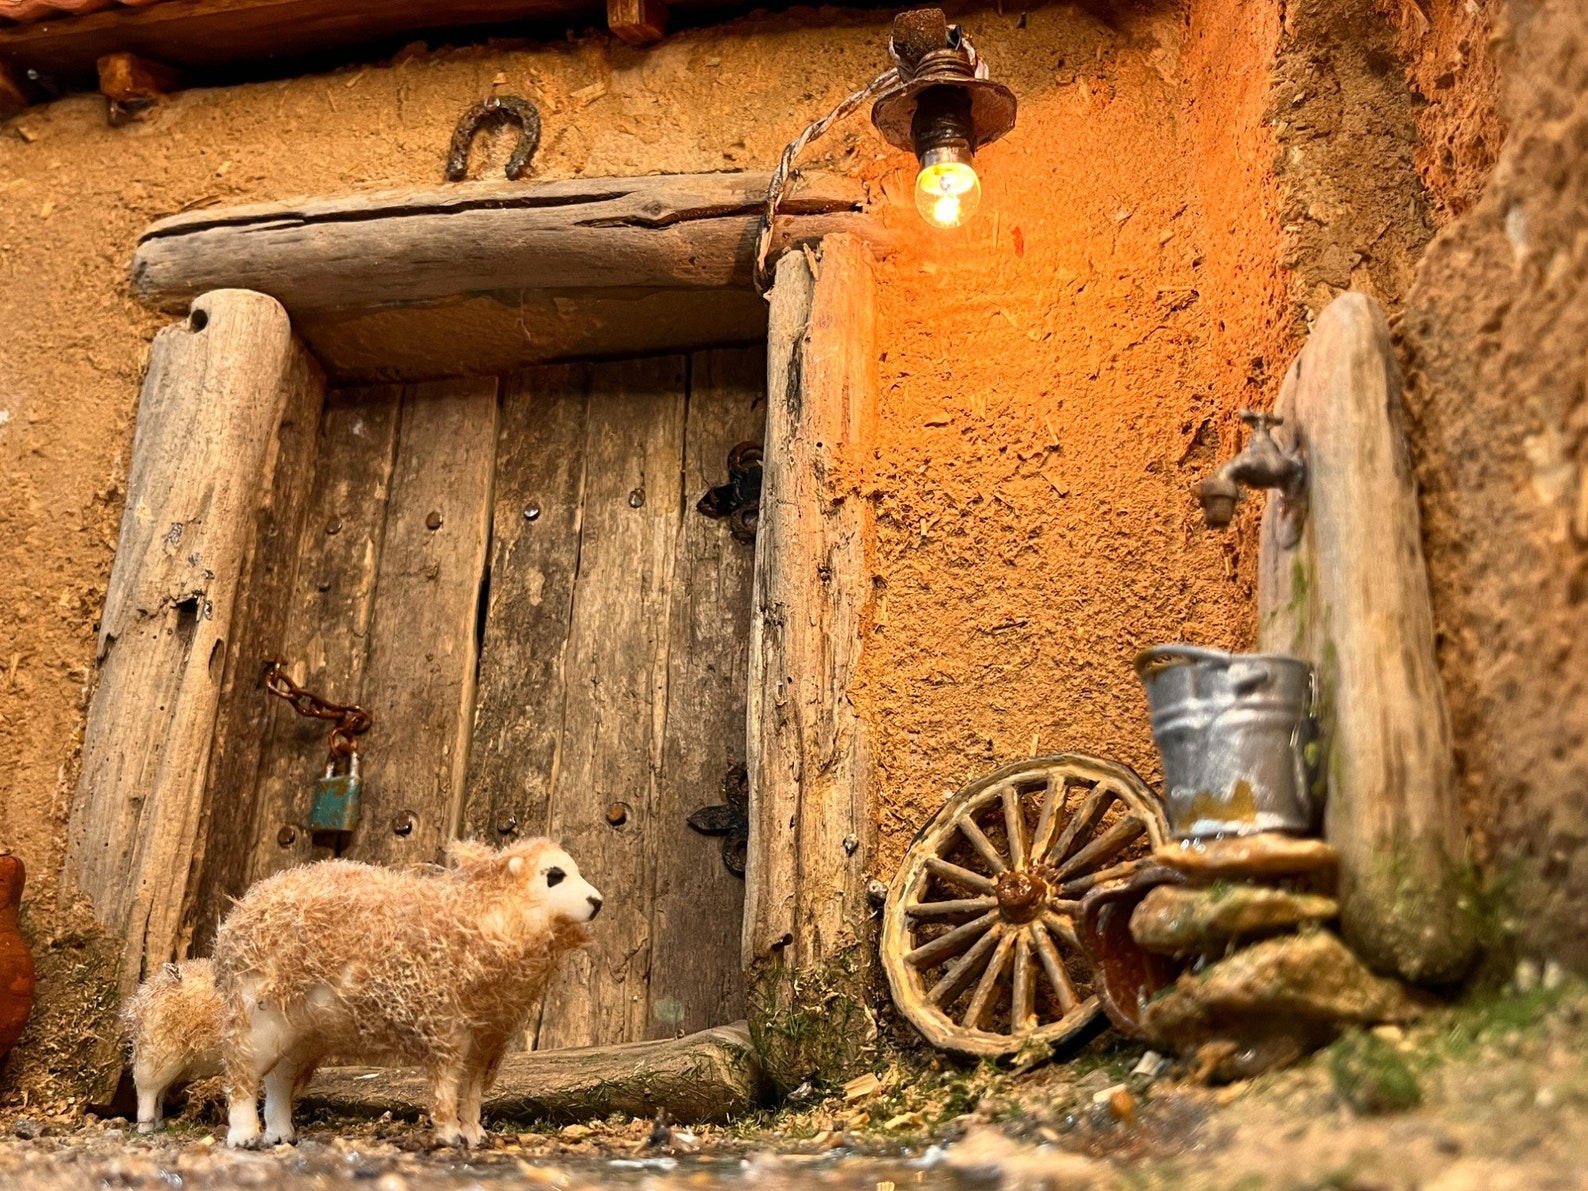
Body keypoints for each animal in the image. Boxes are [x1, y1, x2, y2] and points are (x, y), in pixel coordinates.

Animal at [212, 837, 602, 1150]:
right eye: (554, 875)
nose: (597, 902)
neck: (481, 913)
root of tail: (243, 908)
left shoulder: (485, 1040)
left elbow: (472, 1094)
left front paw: (475, 1135)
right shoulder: (447, 1033)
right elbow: (447, 1089)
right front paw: (450, 1135)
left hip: (303, 1035)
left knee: (280, 1079)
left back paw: (280, 1133)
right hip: (257, 1018)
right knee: (242, 1076)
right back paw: (244, 1135)